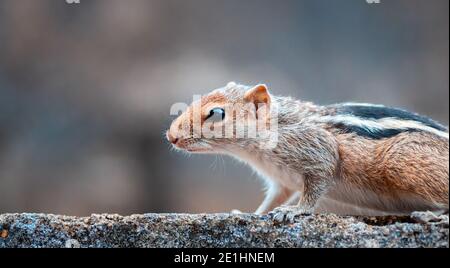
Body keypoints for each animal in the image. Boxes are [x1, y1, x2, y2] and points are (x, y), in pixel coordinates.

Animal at [167, 81, 448, 220]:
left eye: (215, 113)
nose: (171, 136)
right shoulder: (281, 181)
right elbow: (274, 198)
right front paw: (249, 213)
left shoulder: (319, 151)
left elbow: (315, 185)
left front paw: (295, 211)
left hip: (400, 163)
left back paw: (432, 216)